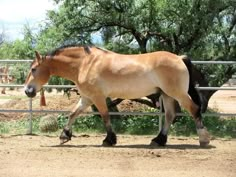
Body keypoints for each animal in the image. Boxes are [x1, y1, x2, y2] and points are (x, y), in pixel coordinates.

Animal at [24, 45, 209, 147]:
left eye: (33, 69)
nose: (27, 91)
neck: (85, 64)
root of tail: (179, 58)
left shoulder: (98, 97)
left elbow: (105, 116)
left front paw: (109, 140)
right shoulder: (87, 98)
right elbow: (73, 114)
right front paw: (64, 136)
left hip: (177, 93)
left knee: (194, 109)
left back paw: (203, 139)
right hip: (167, 94)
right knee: (170, 115)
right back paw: (158, 140)